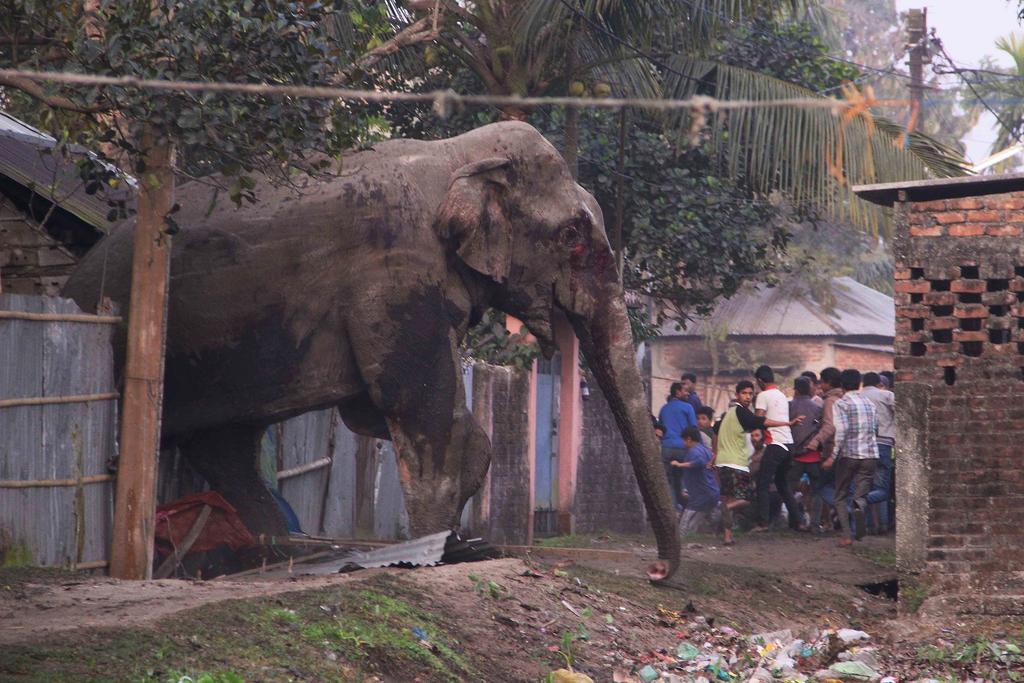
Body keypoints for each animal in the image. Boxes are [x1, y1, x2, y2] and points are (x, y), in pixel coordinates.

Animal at [63, 121, 680, 581]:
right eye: (573, 236)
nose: (654, 572)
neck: (454, 155)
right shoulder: (394, 273)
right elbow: (412, 401)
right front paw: (442, 551)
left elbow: (374, 411)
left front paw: (457, 543)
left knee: (227, 445)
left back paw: (280, 552)